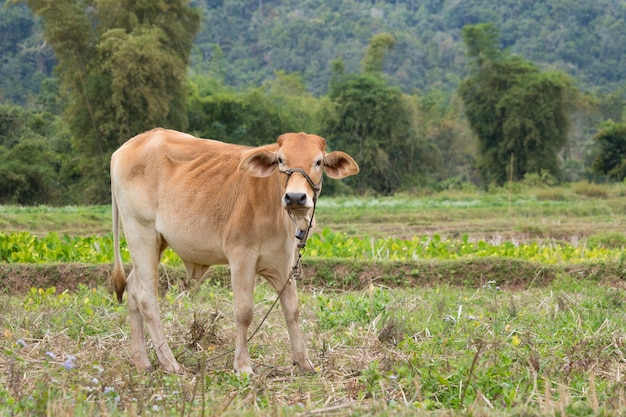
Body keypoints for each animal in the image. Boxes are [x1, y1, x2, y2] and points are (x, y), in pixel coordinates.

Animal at [109, 127, 358, 374]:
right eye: (280, 160)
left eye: (318, 161)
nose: (295, 197)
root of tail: (124, 148)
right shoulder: (241, 258)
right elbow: (244, 312)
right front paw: (243, 366)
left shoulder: (283, 262)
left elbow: (292, 309)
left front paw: (304, 363)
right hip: (141, 234)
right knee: (146, 299)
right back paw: (170, 362)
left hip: (155, 244)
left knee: (132, 289)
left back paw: (141, 361)